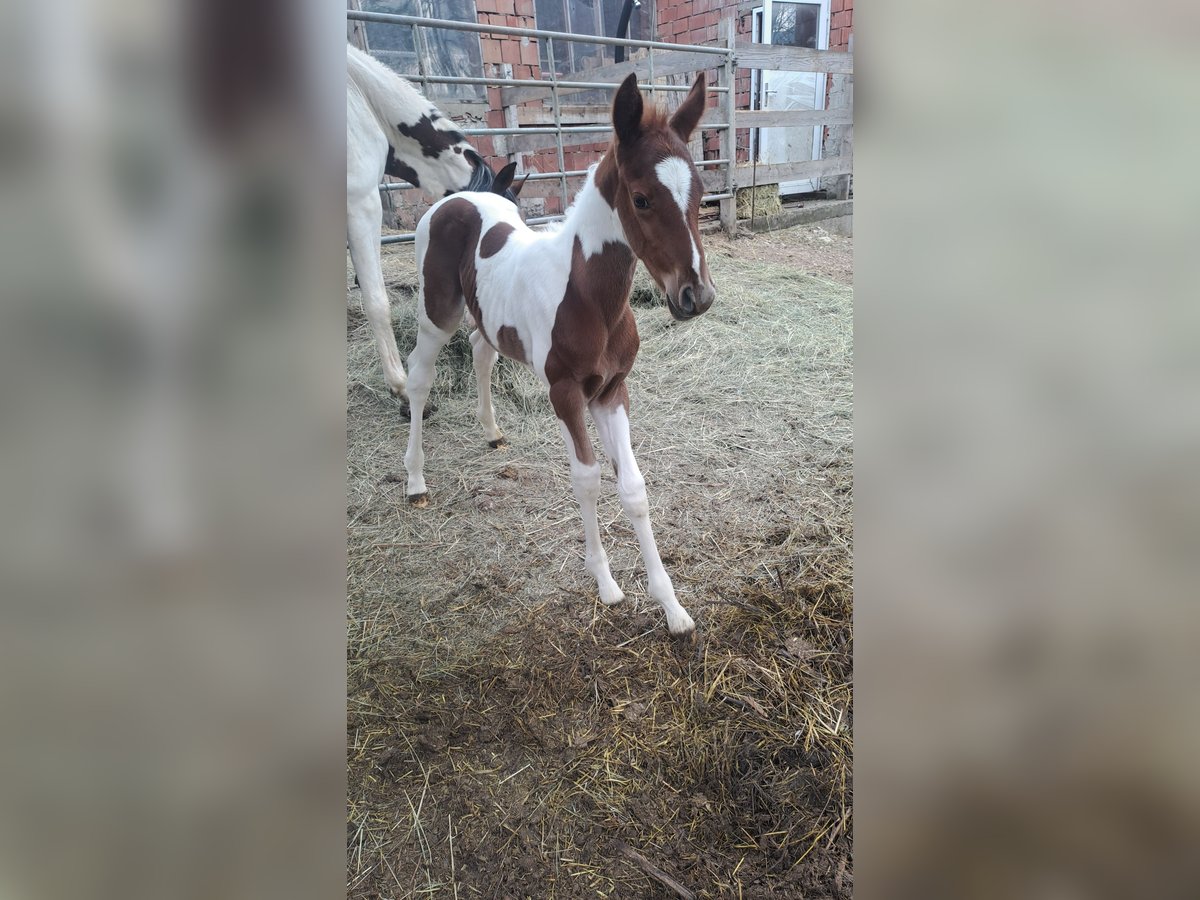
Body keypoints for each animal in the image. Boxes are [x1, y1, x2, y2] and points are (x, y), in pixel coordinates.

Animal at [408, 74, 715, 638]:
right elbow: (588, 479)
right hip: (436, 313)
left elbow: (632, 487)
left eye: (701, 193)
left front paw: (672, 607)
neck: (590, 298)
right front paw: (606, 584)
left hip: (487, 317)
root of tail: (458, 198)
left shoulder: (612, 390)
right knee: (420, 377)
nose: (695, 296)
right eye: (641, 199)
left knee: (482, 350)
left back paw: (491, 431)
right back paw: (415, 479)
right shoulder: (566, 392)